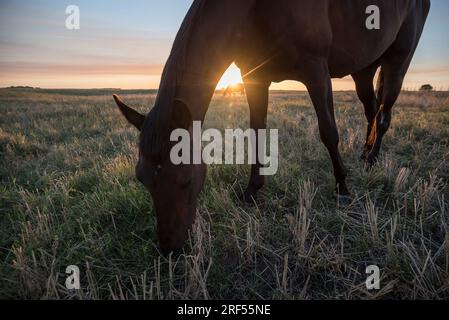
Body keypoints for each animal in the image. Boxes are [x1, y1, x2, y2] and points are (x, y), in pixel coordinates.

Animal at [113, 0, 430, 255]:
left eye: (185, 180)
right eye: (141, 178)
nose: (170, 248)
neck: (258, 7)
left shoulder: (316, 71)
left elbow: (329, 132)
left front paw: (342, 185)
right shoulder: (254, 78)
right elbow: (256, 132)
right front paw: (252, 191)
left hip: (397, 61)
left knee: (384, 114)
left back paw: (372, 159)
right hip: (363, 68)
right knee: (371, 109)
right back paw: (365, 154)